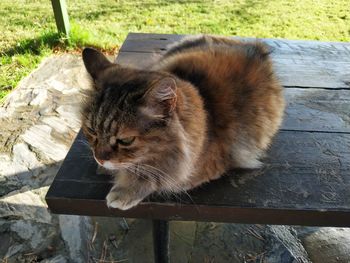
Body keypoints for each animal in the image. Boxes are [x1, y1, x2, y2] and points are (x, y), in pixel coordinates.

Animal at [80, 35, 284, 212]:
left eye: (126, 141)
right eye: (91, 131)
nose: (100, 158)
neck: (205, 115)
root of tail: (258, 48)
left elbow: (149, 174)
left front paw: (124, 191)